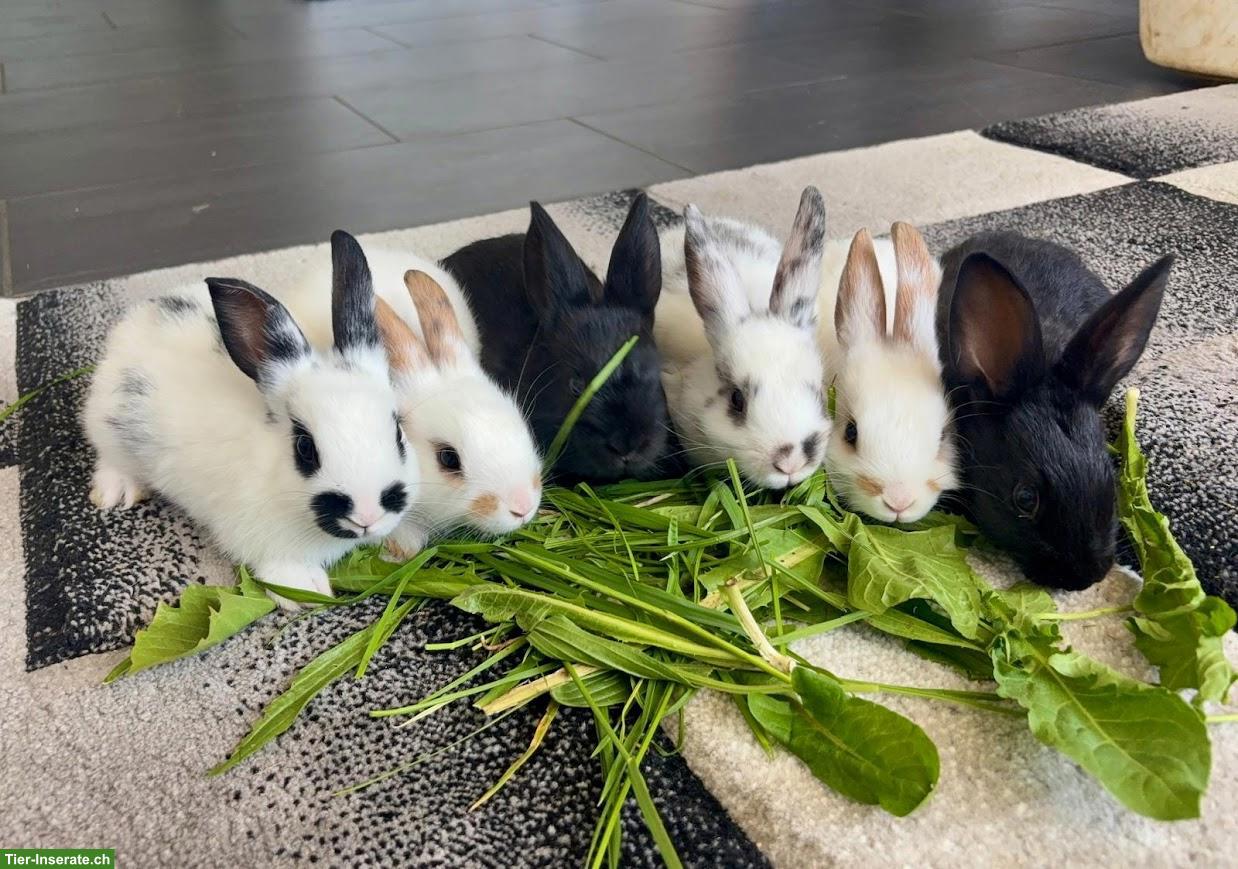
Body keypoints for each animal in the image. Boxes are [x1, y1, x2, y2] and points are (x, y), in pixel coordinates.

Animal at [82, 231, 418, 609]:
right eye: (305, 448)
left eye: (398, 432)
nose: (368, 515)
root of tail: (138, 318)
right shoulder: (260, 539)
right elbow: (279, 566)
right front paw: (308, 591)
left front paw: (403, 544)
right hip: (111, 428)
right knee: (110, 458)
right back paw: (116, 492)